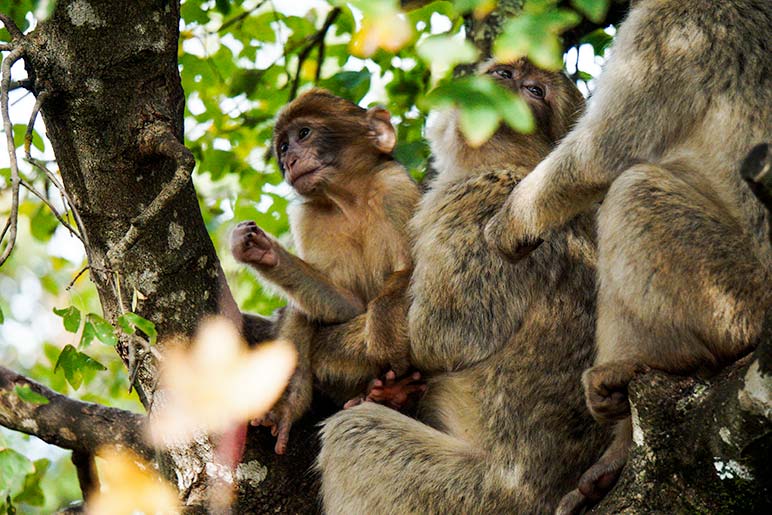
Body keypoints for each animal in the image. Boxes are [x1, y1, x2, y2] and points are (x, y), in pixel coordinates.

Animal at [229, 88, 422, 456]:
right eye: (283, 147)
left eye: (303, 133)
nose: (289, 161)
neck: (351, 200)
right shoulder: (309, 219)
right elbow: (345, 305)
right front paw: (263, 252)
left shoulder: (394, 187)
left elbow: (416, 268)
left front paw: (384, 323)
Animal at [316, 60, 612, 515]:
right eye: (504, 70)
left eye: (535, 91)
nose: (502, 82)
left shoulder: (480, 199)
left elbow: (443, 337)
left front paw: (310, 347)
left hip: (472, 497)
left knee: (353, 432)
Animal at [486, 0, 772, 508]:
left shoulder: (673, 32)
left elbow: (603, 154)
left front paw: (511, 222)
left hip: (737, 295)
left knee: (634, 191)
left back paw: (668, 367)